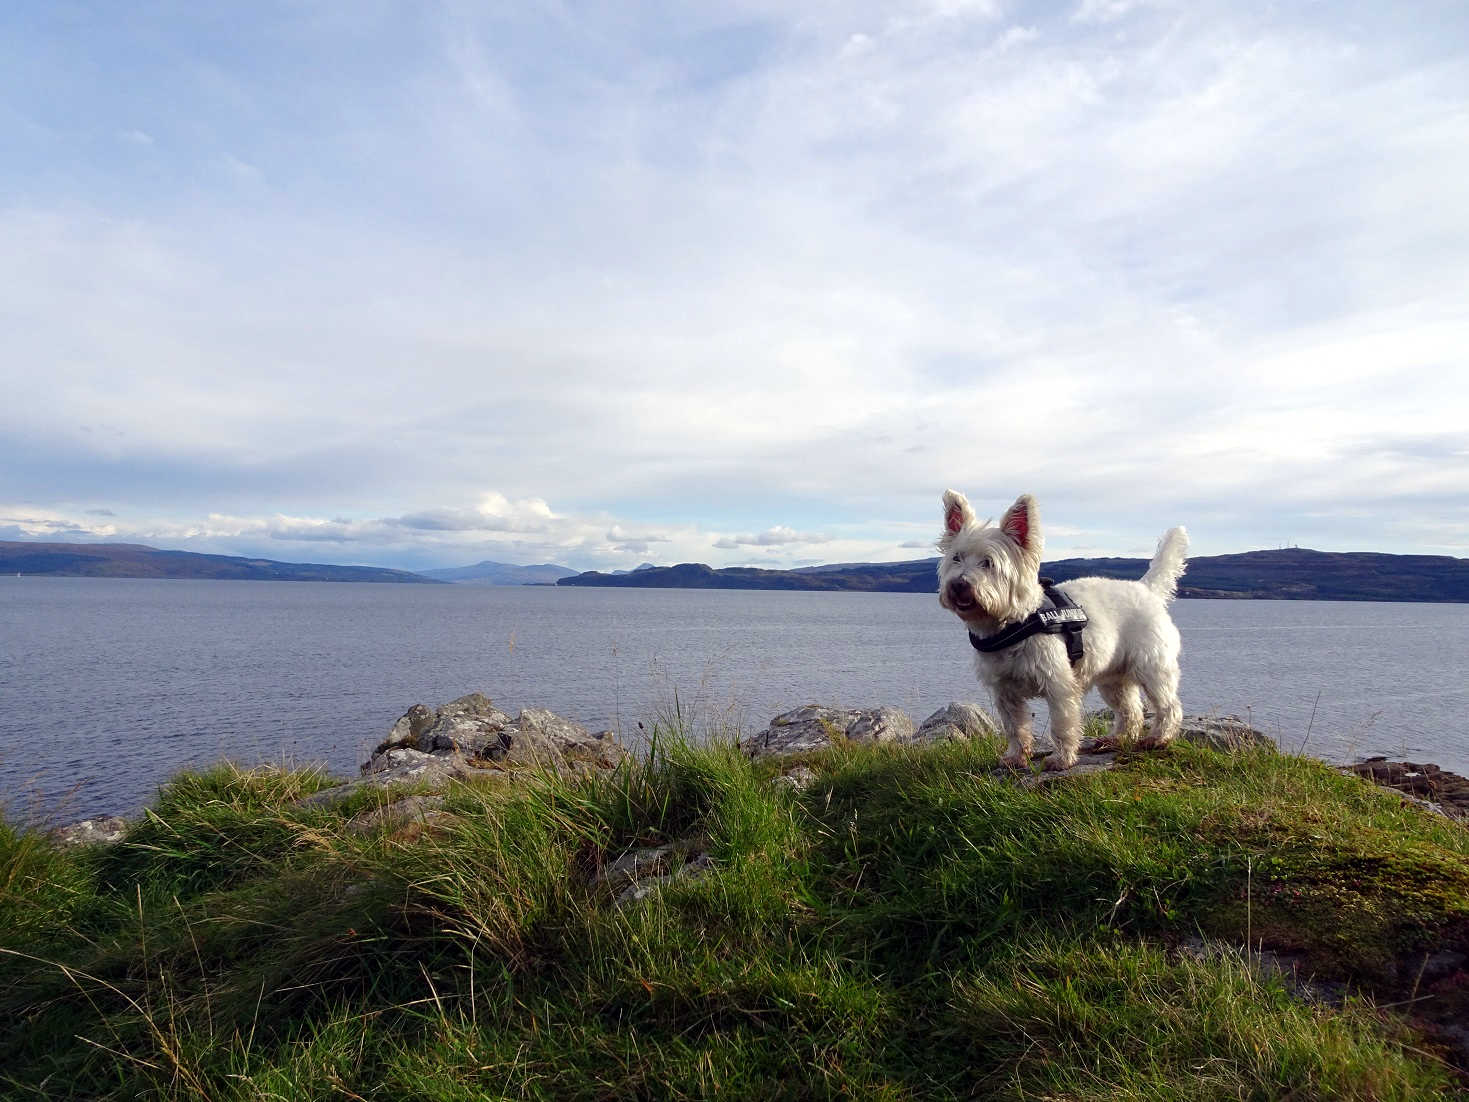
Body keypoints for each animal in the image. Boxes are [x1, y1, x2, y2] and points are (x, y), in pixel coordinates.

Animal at [940, 496, 1192, 769]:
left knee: (1168, 706)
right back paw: (1115, 739)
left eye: (988, 562)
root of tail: (1146, 588)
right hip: (1112, 678)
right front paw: (1016, 757)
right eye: (956, 557)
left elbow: (1062, 725)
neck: (1013, 624)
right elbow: (1015, 727)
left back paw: (1158, 739)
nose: (959, 584)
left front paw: (1060, 759)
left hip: (1152, 668)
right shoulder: (1004, 691)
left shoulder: (1058, 684)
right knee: (1131, 710)